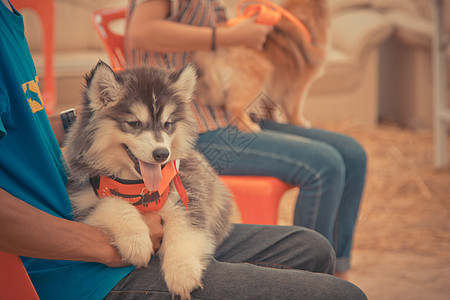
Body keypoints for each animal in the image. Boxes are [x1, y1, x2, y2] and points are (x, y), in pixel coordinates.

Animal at [64, 61, 232, 300]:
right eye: (134, 123)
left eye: (168, 124)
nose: (162, 154)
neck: (137, 185)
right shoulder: (82, 199)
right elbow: (114, 204)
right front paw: (136, 241)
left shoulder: (187, 193)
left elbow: (184, 228)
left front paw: (182, 271)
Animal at [192, 0, 328, 131]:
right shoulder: (298, 86)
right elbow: (294, 107)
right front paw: (299, 122)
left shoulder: (276, 84)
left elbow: (271, 105)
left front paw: (274, 119)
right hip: (257, 76)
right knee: (235, 106)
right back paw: (248, 126)